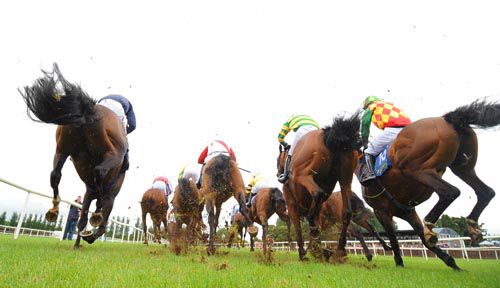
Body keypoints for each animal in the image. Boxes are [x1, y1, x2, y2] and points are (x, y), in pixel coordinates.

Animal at [19, 64, 128, 249]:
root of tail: (89, 110)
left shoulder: (88, 193)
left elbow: (82, 220)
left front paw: (79, 242)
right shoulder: (109, 195)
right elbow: (99, 223)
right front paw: (90, 233)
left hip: (62, 148)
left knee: (55, 175)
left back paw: (54, 209)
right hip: (112, 153)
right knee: (99, 172)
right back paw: (94, 215)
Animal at [276, 113, 362, 260]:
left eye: (277, 161)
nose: (278, 173)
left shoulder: (292, 206)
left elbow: (298, 229)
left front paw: (303, 253)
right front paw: (319, 251)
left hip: (303, 174)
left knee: (317, 193)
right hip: (345, 179)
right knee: (346, 212)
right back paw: (339, 250)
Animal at [360, 99, 500, 270]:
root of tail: (446, 119)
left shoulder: (381, 210)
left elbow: (394, 238)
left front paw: (399, 263)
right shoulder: (407, 210)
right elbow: (422, 239)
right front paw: (451, 262)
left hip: (417, 169)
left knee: (450, 192)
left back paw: (430, 223)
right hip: (463, 168)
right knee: (486, 192)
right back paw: (472, 227)